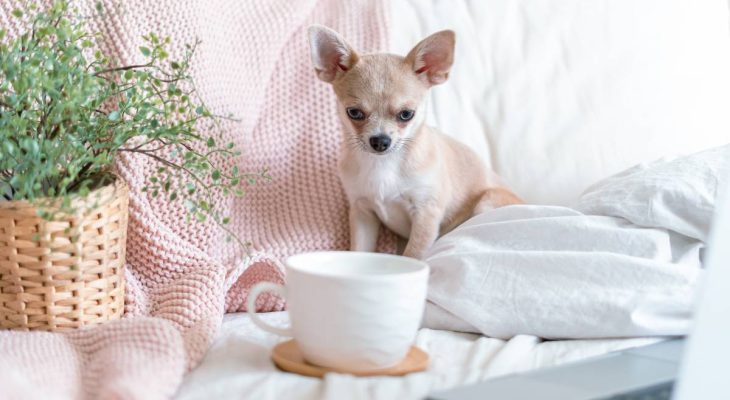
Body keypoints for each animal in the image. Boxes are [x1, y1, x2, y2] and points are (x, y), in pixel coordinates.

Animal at [304, 25, 520, 258]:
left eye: (406, 114)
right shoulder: (363, 212)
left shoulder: (426, 213)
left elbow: (413, 255)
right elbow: (360, 250)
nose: (380, 141)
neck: (384, 164)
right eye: (354, 112)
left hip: (487, 202)